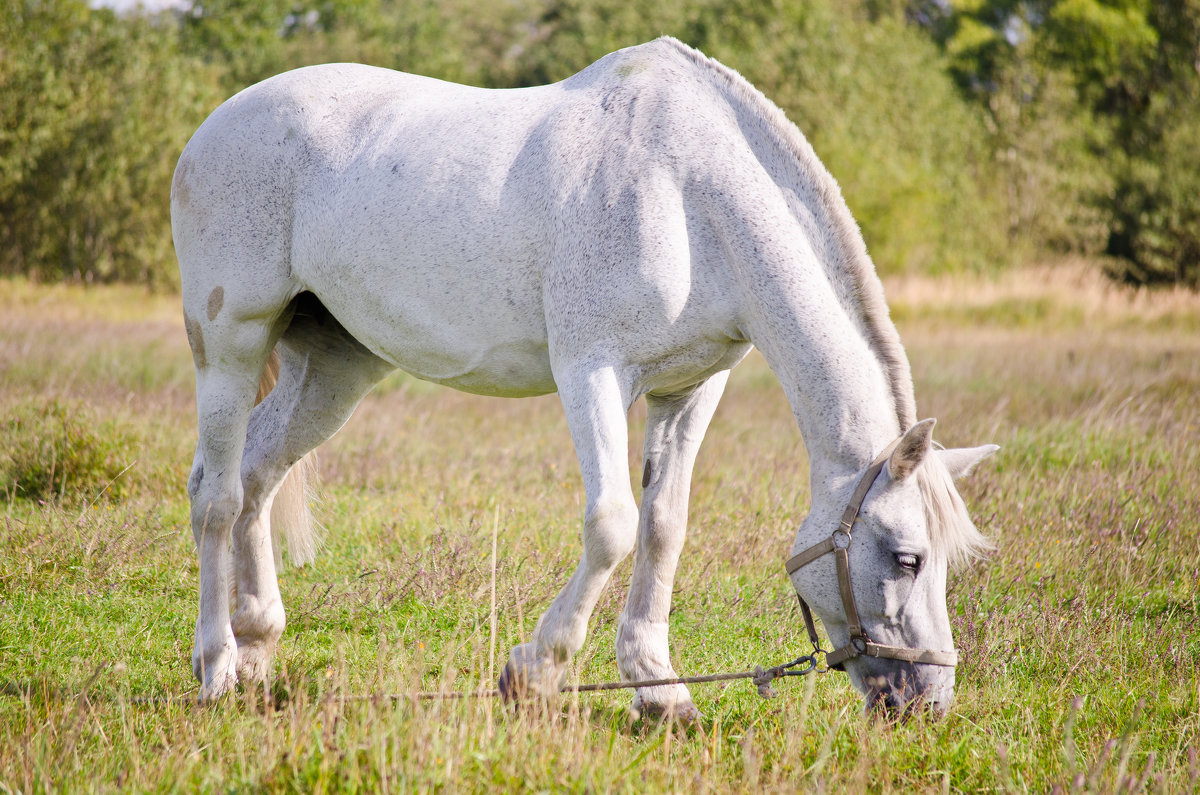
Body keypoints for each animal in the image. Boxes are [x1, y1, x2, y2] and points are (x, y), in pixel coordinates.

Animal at [169, 37, 993, 720]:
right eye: (908, 557)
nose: (927, 701)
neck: (689, 196)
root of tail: (213, 126)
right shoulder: (591, 372)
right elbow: (612, 525)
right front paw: (533, 671)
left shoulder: (690, 388)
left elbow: (664, 526)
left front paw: (659, 690)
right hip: (231, 344)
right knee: (217, 494)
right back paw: (216, 667)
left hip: (333, 368)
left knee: (258, 475)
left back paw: (257, 649)